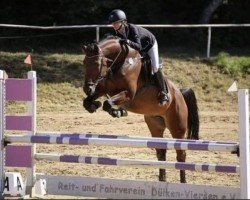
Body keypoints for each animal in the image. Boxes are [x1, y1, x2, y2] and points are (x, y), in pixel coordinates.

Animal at [81, 36, 199, 183]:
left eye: (97, 63)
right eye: (84, 62)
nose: (87, 88)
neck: (120, 62)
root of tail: (180, 93)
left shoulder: (128, 93)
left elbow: (107, 103)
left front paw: (117, 111)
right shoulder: (105, 88)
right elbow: (90, 101)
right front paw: (95, 105)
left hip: (177, 127)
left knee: (181, 154)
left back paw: (183, 182)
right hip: (155, 125)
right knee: (161, 152)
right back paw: (162, 180)